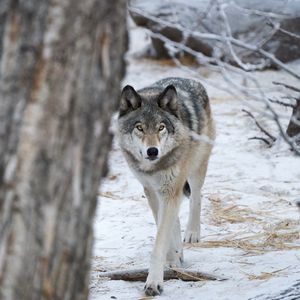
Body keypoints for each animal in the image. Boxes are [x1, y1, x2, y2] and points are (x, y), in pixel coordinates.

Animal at [117, 77, 216, 296]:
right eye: (139, 127)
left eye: (161, 127)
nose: (152, 151)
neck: (155, 167)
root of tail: (191, 80)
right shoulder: (151, 191)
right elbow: (164, 230)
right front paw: (172, 259)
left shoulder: (170, 190)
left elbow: (160, 240)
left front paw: (154, 283)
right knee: (176, 218)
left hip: (196, 168)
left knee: (196, 197)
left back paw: (192, 233)